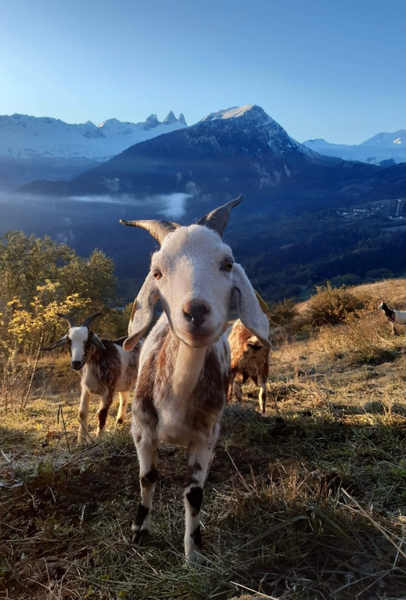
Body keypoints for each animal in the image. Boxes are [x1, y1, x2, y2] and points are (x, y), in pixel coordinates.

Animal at [43, 312, 141, 442]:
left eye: (87, 341)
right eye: (69, 342)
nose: (76, 363)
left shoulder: (108, 390)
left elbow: (101, 412)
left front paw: (99, 437)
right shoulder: (85, 388)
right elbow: (82, 412)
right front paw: (81, 440)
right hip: (125, 382)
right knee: (124, 398)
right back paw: (119, 424)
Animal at [119, 196, 270, 564]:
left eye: (227, 264)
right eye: (157, 272)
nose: (196, 312)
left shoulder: (205, 437)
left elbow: (194, 493)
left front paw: (194, 554)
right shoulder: (141, 429)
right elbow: (147, 477)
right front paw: (139, 531)